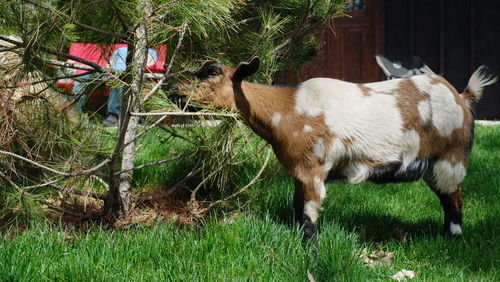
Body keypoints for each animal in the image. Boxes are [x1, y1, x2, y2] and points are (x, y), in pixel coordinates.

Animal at [179, 56, 496, 240]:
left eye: (212, 73)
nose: (176, 93)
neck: (288, 108)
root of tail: (462, 96)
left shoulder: (314, 169)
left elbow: (309, 214)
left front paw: (308, 248)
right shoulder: (299, 171)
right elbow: (297, 207)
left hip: (450, 158)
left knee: (454, 199)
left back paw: (453, 239)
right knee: (447, 198)